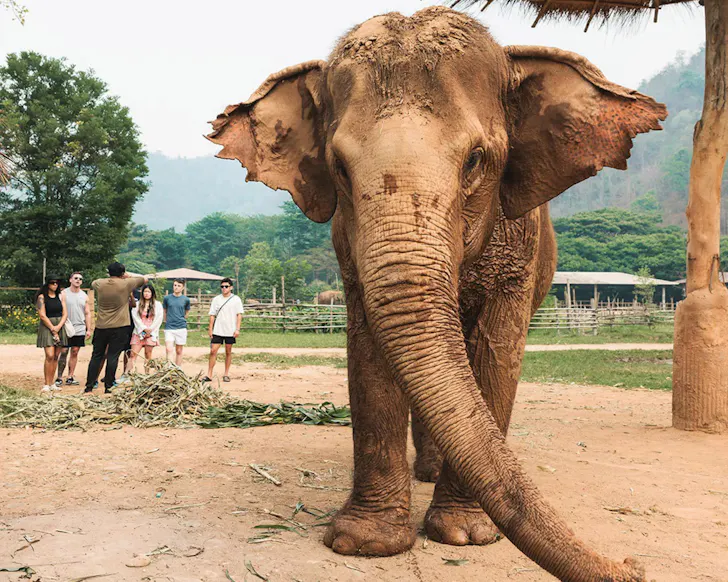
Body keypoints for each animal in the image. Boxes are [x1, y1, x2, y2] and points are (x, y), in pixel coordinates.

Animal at [207, 7, 666, 581]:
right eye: (339, 168)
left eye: (475, 160)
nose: (633, 563)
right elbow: (369, 352)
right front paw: (366, 543)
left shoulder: (520, 249)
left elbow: (496, 353)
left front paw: (465, 535)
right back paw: (424, 471)